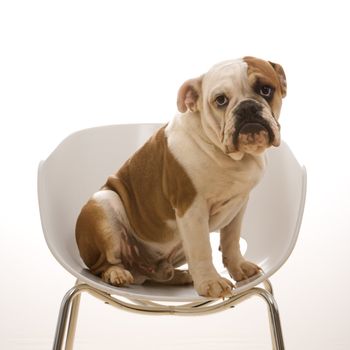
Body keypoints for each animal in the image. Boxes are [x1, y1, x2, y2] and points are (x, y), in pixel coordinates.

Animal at [75, 56, 286, 298]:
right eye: (221, 100)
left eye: (266, 89)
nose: (247, 107)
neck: (230, 157)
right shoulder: (192, 209)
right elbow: (202, 248)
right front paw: (211, 282)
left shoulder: (239, 205)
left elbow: (231, 240)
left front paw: (238, 267)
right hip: (103, 204)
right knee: (100, 265)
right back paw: (116, 273)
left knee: (158, 275)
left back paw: (181, 275)